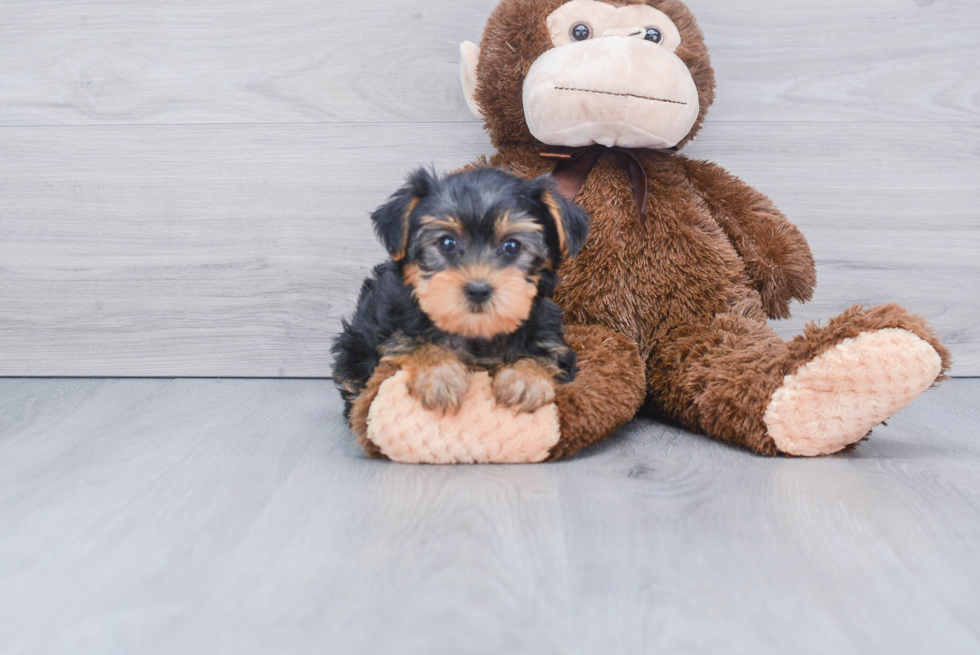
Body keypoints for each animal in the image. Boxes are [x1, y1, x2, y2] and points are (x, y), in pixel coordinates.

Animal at [330, 167, 588, 418]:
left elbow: (547, 353)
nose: (478, 290)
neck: (474, 331)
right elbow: (411, 343)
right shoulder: (393, 330)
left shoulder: (549, 334)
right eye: (447, 243)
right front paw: (439, 375)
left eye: (512, 246)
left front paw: (525, 379)